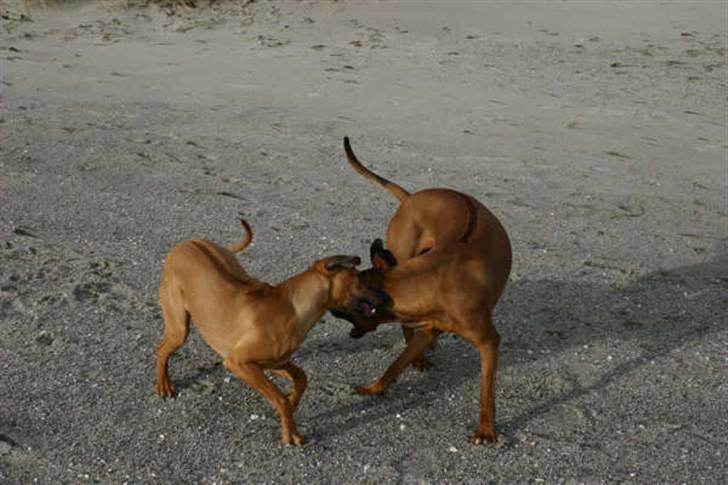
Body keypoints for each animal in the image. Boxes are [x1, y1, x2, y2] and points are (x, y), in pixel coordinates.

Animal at [156, 216, 390, 446]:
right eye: (360, 280)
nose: (386, 298)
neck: (293, 308)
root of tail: (188, 243)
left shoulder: (271, 362)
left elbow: (301, 378)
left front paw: (292, 407)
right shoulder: (239, 363)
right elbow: (280, 398)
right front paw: (290, 432)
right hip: (179, 328)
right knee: (161, 350)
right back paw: (163, 385)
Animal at [336, 136, 512, 442]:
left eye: (344, 307)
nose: (330, 312)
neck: (436, 282)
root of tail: (411, 197)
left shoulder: (488, 342)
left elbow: (486, 391)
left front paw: (486, 429)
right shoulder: (428, 327)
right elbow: (397, 362)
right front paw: (375, 387)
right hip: (403, 250)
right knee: (407, 332)